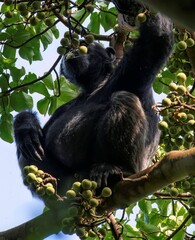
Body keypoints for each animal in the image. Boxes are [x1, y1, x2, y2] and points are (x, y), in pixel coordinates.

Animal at [13, 0, 174, 195]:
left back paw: (115, 168)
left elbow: (156, 41)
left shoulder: (130, 68)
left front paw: (131, 6)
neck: (94, 84)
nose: (72, 51)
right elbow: (43, 130)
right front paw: (26, 126)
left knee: (123, 99)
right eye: (67, 47)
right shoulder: (62, 108)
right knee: (25, 151)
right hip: (66, 180)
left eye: (82, 43)